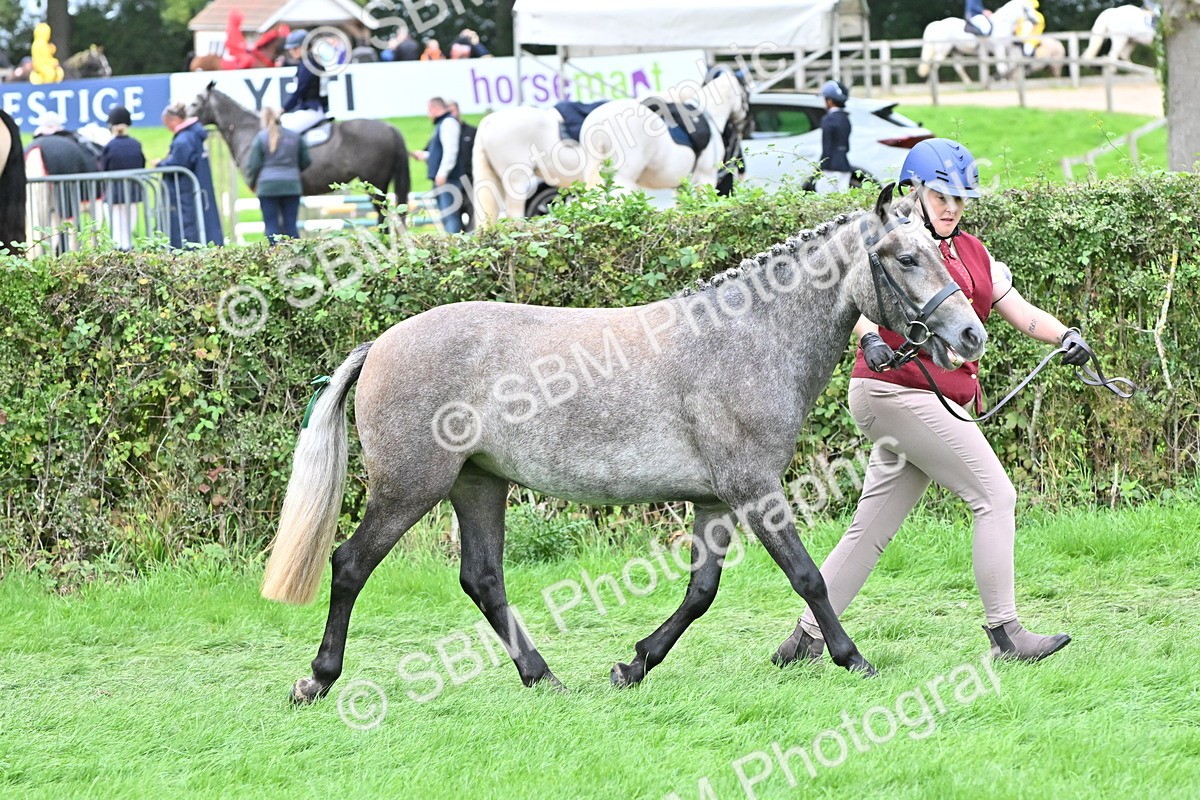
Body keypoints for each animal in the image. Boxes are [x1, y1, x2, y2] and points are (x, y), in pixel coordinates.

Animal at [261, 183, 988, 704]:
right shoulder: (754, 490)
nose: (971, 335)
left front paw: (633, 664)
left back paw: (544, 678)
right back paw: (316, 679)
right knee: (351, 565)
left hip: (478, 484)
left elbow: (700, 592)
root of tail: (380, 344)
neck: (746, 338)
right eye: (906, 258)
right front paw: (854, 659)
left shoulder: (714, 500)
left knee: (483, 579)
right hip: (412, 488)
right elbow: (808, 577)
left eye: (939, 249)